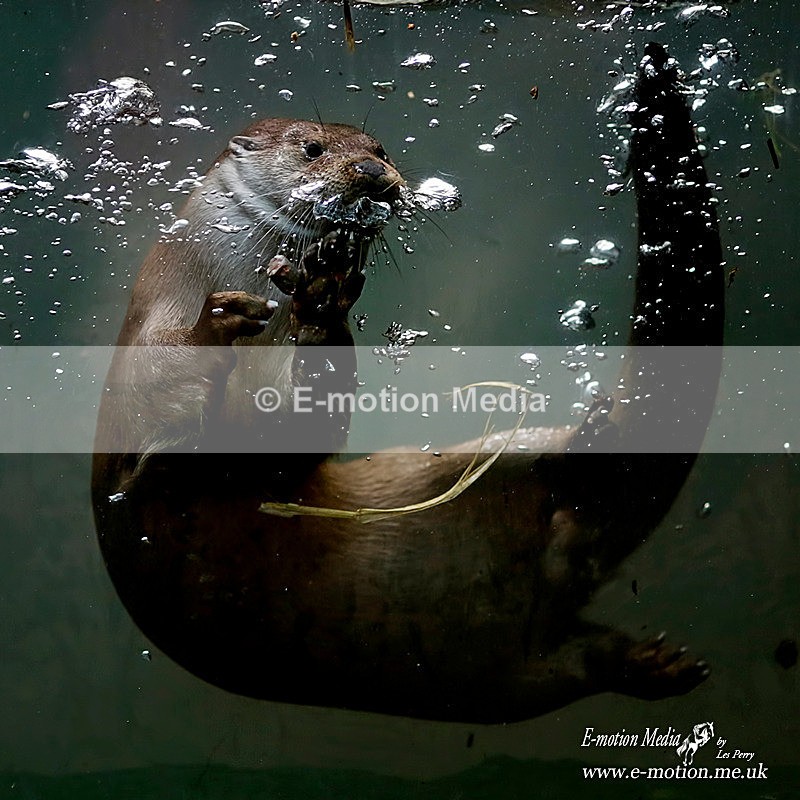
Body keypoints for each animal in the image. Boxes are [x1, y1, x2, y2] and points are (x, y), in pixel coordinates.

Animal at [93, 44, 724, 723]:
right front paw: (216, 325)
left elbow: (301, 429)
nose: (373, 171)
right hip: (519, 671)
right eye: (312, 148)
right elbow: (161, 406)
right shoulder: (144, 347)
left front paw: (323, 304)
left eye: (382, 147)